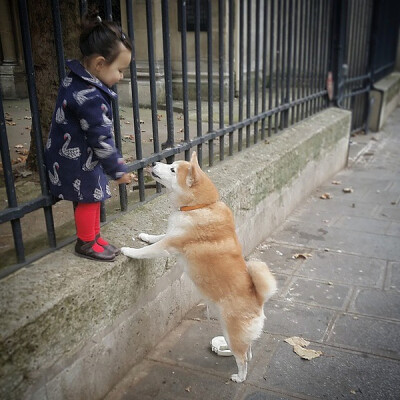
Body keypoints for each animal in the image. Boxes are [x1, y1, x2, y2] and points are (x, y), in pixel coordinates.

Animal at [122, 152, 276, 382]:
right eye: (171, 163)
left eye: (172, 170)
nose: (154, 162)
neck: (200, 206)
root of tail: (258, 300)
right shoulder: (171, 235)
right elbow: (157, 237)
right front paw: (145, 236)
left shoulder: (170, 244)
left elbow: (147, 251)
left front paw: (128, 250)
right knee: (249, 349)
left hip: (232, 334)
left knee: (242, 358)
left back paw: (239, 377)